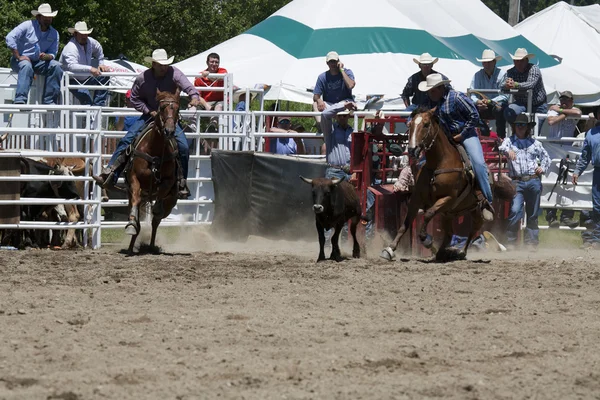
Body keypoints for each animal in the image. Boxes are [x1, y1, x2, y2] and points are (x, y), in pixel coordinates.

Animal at [124, 89, 180, 255]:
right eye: (162, 108)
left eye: (177, 109)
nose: (169, 131)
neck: (154, 149)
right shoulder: (134, 179)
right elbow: (136, 201)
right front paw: (131, 225)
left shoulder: (168, 181)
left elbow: (160, 197)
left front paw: (156, 209)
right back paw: (131, 247)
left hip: (171, 201)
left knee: (156, 221)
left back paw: (151, 246)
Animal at [382, 106, 504, 262]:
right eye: (410, 125)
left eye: (426, 124)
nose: (412, 150)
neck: (439, 164)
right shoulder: (416, 199)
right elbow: (405, 223)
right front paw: (389, 249)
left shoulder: (448, 198)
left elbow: (428, 214)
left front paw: (426, 239)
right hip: (449, 213)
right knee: (450, 233)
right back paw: (443, 253)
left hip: (475, 209)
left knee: (474, 228)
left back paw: (460, 252)